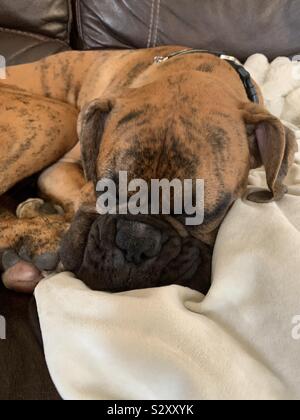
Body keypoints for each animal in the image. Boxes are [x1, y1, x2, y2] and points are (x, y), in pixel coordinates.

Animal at [0, 47, 296, 294]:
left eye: (203, 212)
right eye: (104, 192)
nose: (136, 241)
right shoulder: (57, 171)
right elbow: (78, 197)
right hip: (57, 118)